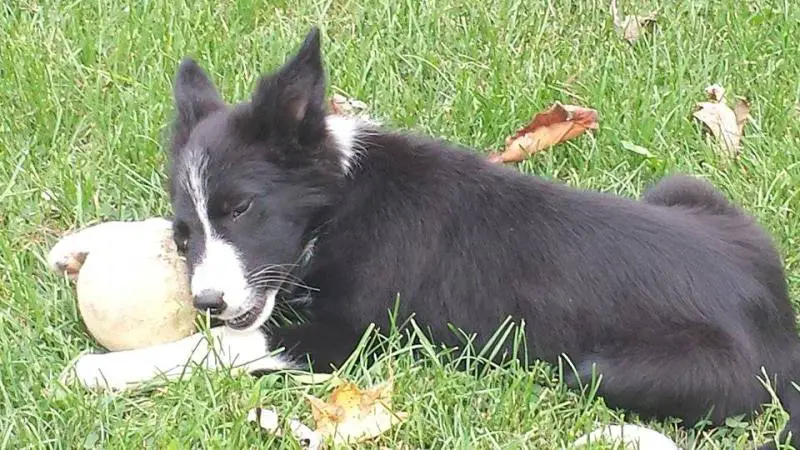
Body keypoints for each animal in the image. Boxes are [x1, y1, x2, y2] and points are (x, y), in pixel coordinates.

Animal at [56, 29, 800, 450]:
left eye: (244, 209)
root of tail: (782, 331)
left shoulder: (341, 339)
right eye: (186, 234)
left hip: (600, 369)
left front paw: (99, 370)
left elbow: (223, 346)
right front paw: (84, 241)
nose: (205, 301)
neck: (342, 205)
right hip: (683, 189)